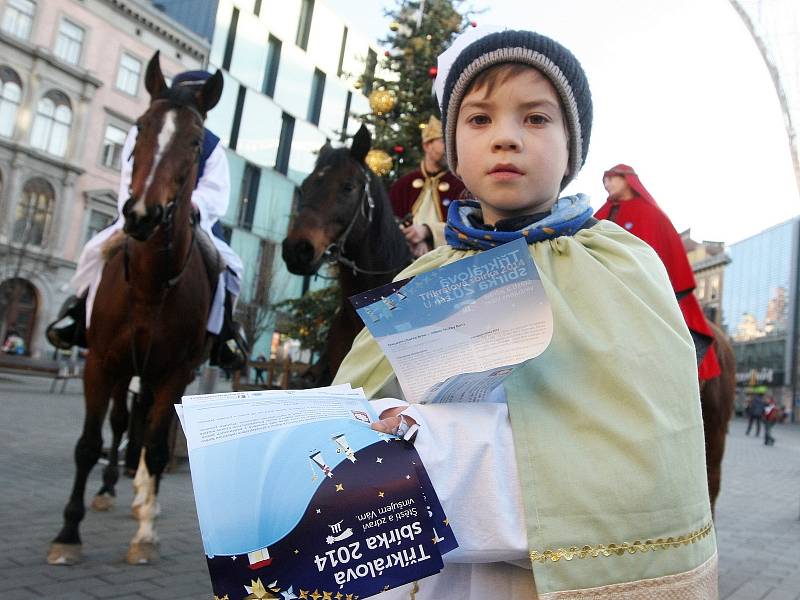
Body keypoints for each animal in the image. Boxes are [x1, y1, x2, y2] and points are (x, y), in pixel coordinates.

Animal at [47, 52, 222, 568]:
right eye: (141, 127)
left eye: (194, 140)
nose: (142, 214)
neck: (149, 287)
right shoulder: (100, 363)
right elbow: (88, 445)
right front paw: (68, 533)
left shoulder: (175, 372)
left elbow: (159, 449)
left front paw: (146, 533)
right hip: (123, 367)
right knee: (123, 423)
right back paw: (109, 491)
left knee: (144, 433)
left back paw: (145, 500)